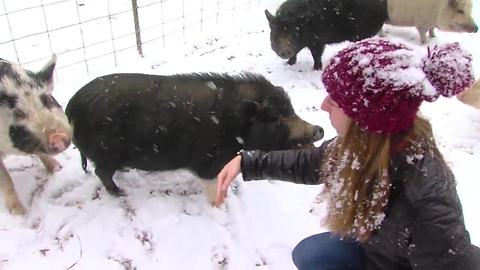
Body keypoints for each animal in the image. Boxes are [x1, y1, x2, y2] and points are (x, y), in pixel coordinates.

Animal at [0, 56, 72, 214]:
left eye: (48, 99)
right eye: (18, 113)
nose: (57, 136)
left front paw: (58, 168)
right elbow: (6, 179)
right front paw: (19, 213)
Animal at [65, 73, 324, 204]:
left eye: (291, 110)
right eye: (275, 117)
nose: (318, 130)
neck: (233, 126)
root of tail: (71, 107)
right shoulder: (206, 163)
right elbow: (212, 185)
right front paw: (219, 205)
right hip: (105, 152)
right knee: (101, 172)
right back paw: (120, 193)